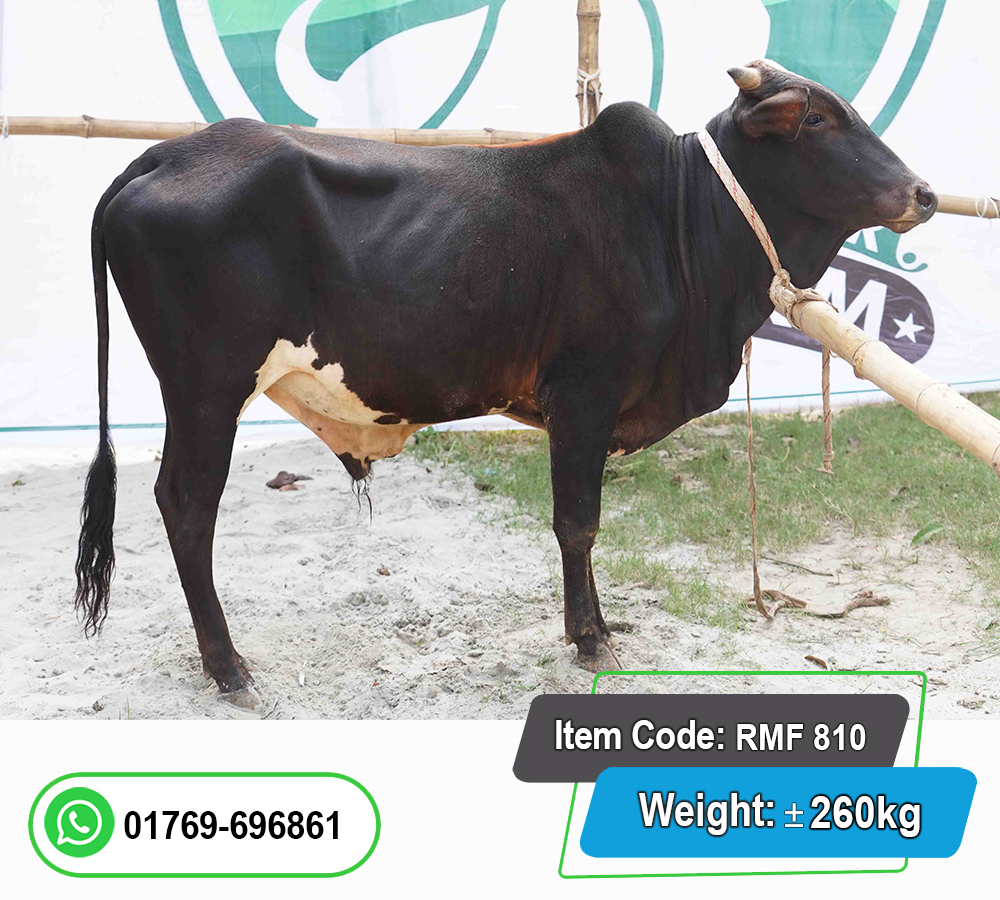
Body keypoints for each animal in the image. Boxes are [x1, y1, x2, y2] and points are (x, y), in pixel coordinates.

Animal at [75, 60, 936, 708]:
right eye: (817, 121)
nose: (924, 193)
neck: (676, 220)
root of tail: (165, 155)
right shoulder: (584, 395)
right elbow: (578, 524)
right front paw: (590, 640)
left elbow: (582, 527)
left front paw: (599, 627)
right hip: (206, 390)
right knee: (188, 507)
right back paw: (229, 667)